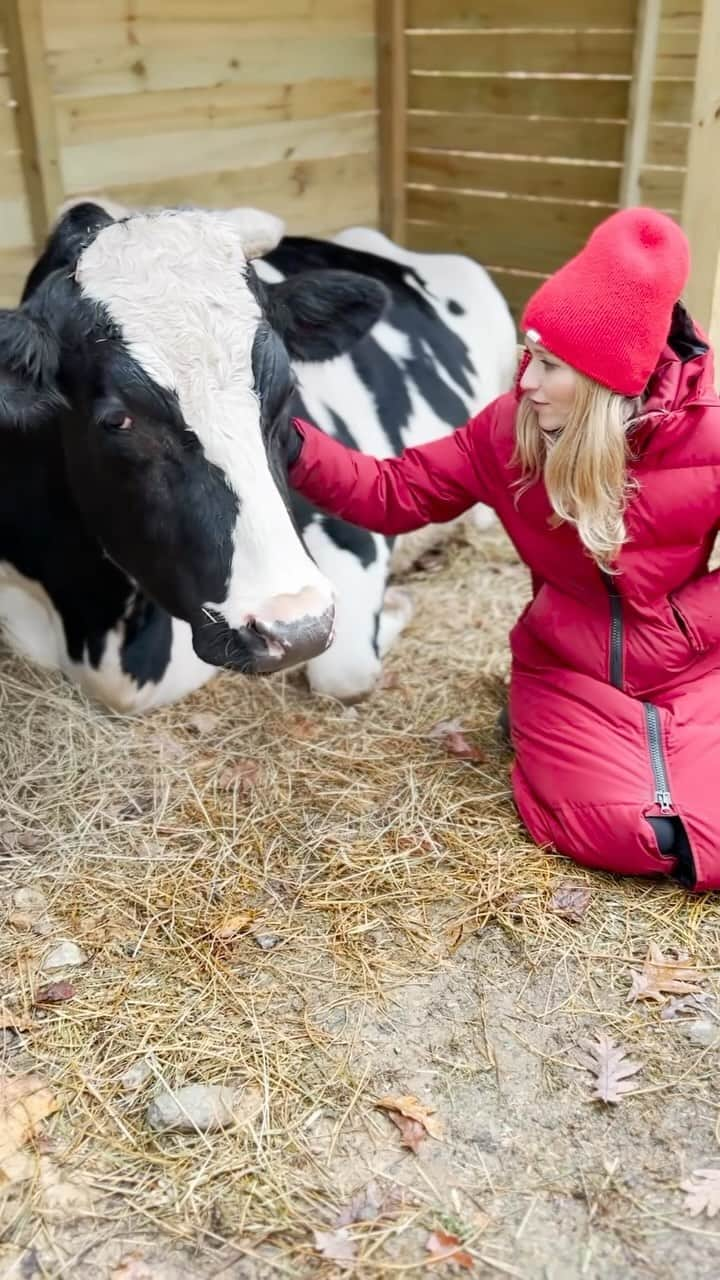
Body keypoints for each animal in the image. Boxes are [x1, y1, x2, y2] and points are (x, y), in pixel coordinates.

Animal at [0, 199, 515, 711]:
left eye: (288, 390)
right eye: (118, 419)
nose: (297, 630)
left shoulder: (353, 535)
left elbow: (343, 673)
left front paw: (395, 604)